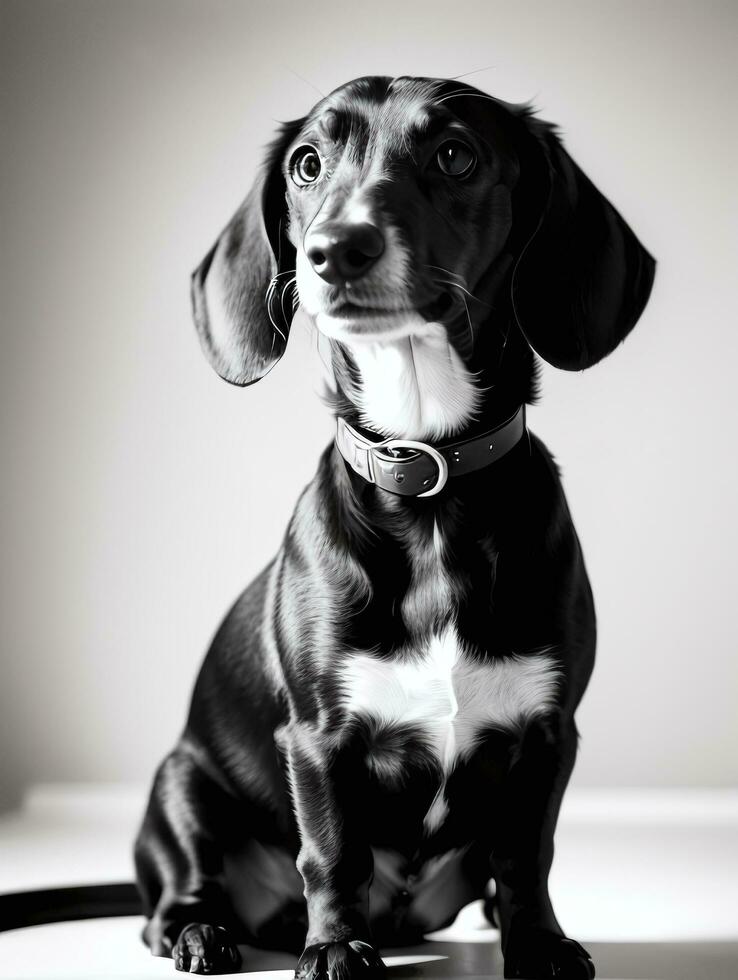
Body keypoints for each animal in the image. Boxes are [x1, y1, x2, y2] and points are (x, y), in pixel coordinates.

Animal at [135, 72, 652, 976]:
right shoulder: (318, 738)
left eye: (454, 154)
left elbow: (529, 853)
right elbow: (332, 851)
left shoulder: (548, 737)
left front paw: (539, 942)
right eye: (308, 164)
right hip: (182, 783)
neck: (429, 478)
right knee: (179, 885)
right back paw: (200, 929)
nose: (336, 250)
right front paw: (337, 947)